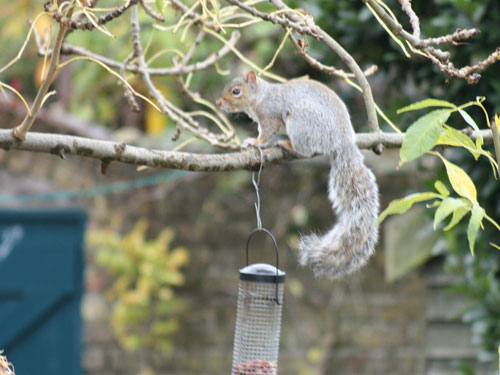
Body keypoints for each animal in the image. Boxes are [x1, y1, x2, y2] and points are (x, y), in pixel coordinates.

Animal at [216, 72, 378, 280]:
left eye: (236, 91)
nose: (219, 102)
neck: (261, 96)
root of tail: (342, 141)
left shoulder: (270, 116)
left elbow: (266, 135)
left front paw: (255, 142)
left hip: (300, 124)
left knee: (306, 152)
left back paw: (287, 144)